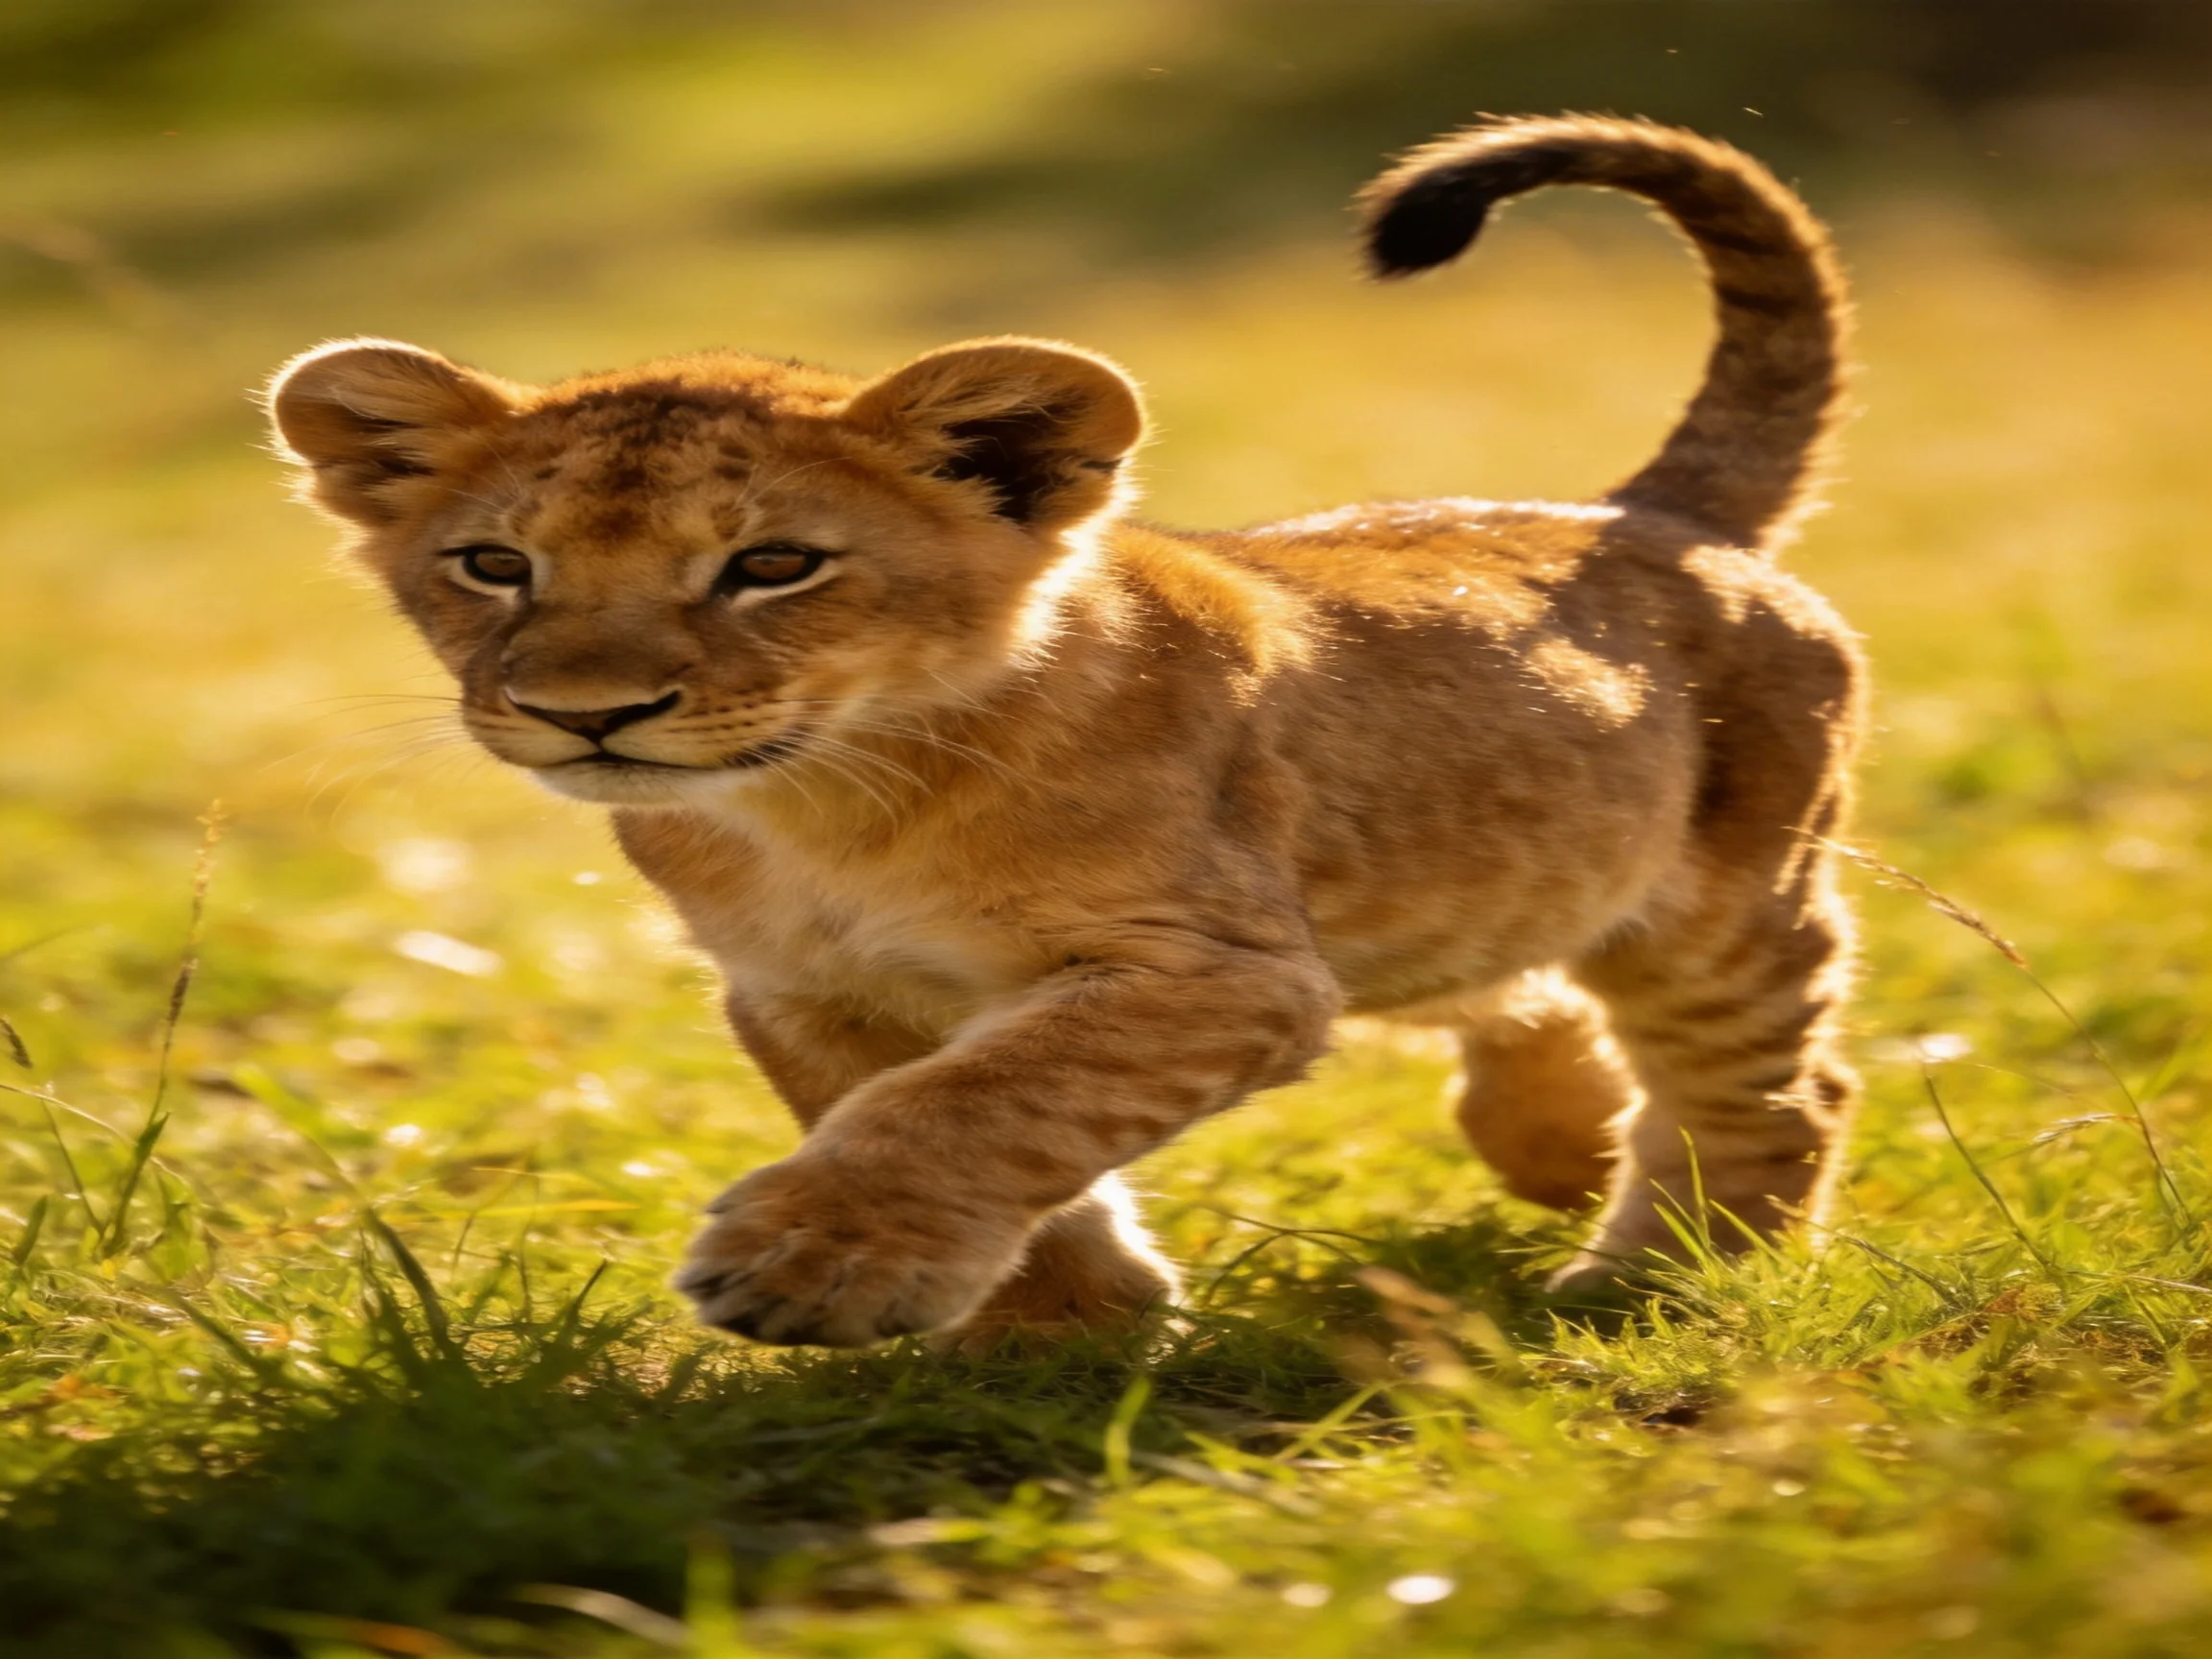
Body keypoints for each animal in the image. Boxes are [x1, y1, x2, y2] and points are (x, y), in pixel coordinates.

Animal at [267, 115, 1862, 1348]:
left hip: (1730, 901)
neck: (823, 807)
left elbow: (988, 1098)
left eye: (772, 565)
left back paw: (1655, 1276)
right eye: (496, 566)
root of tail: (1641, 514)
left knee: (1777, 1084)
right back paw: (1559, 1149)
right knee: (1531, 991)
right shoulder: (804, 989)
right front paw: (1064, 1331)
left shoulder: (1219, 971)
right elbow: (909, 1100)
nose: (584, 714)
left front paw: (812, 1270)